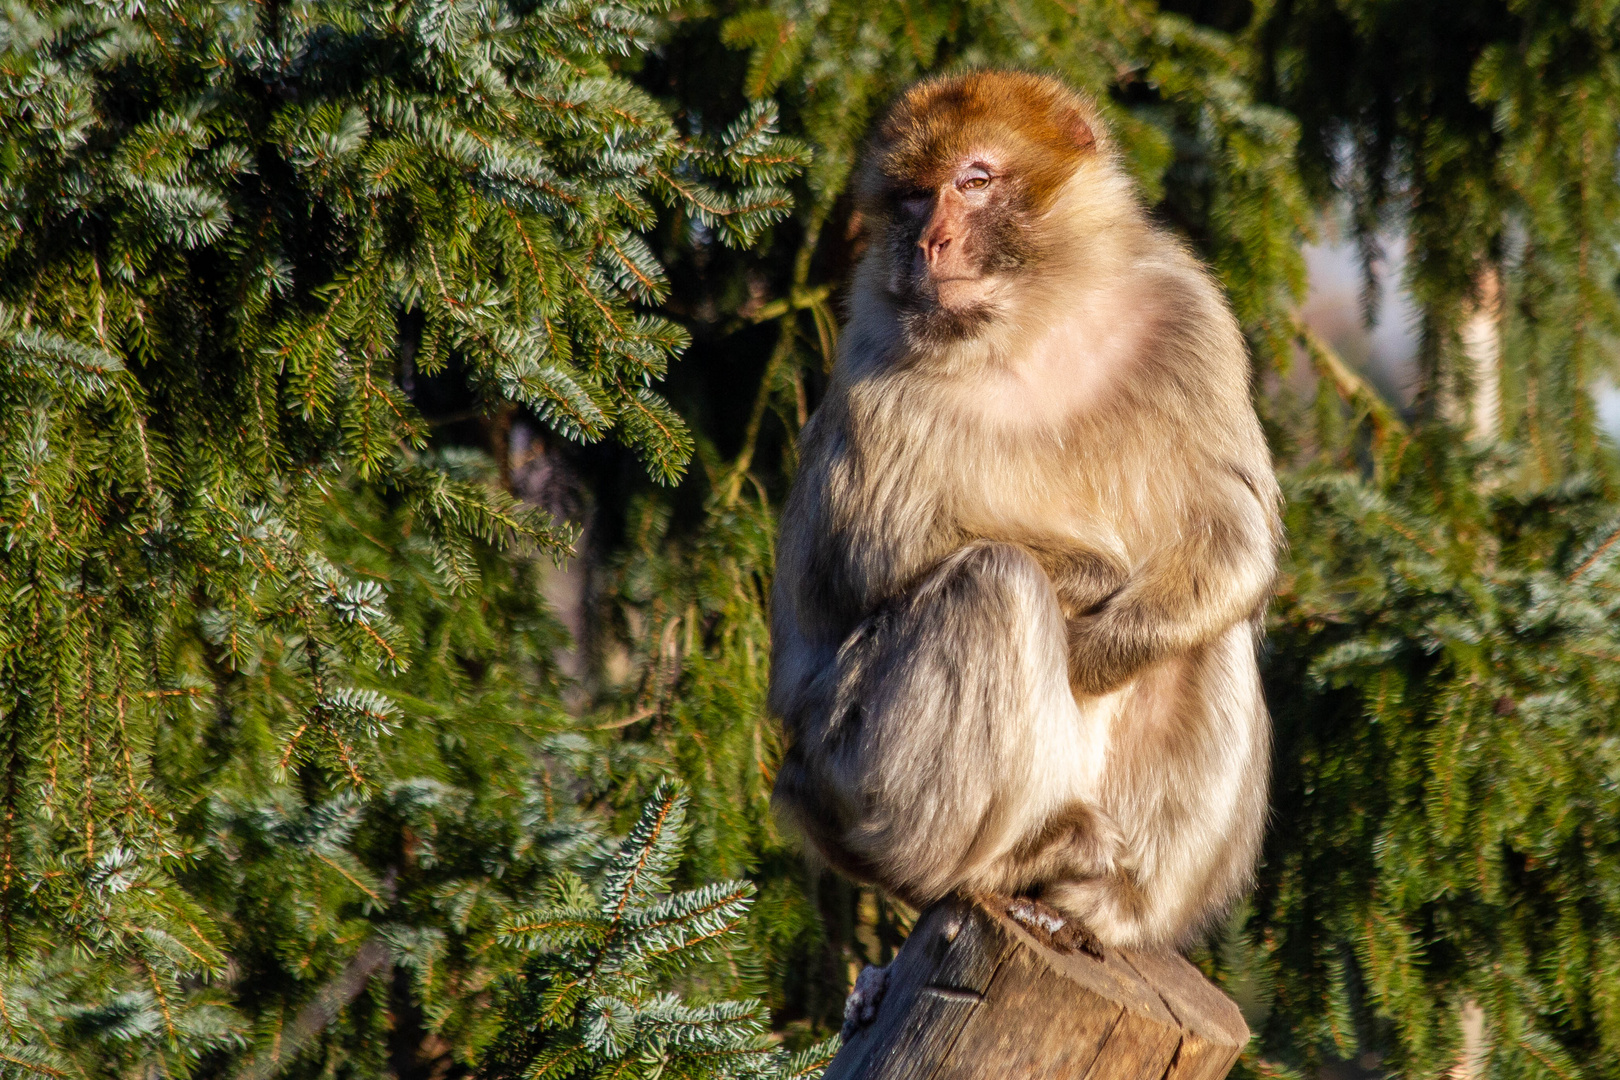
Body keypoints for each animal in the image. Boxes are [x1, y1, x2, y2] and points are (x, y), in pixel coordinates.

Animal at [764, 67, 1283, 952]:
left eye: (974, 181)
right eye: (911, 196)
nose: (930, 241)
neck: (1033, 323)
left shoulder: (1186, 313)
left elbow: (1233, 534)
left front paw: (1096, 652)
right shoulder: (876, 366)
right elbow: (876, 558)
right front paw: (1092, 575)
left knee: (1206, 637)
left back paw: (1118, 903)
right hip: (841, 779)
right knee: (992, 584)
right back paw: (999, 862)